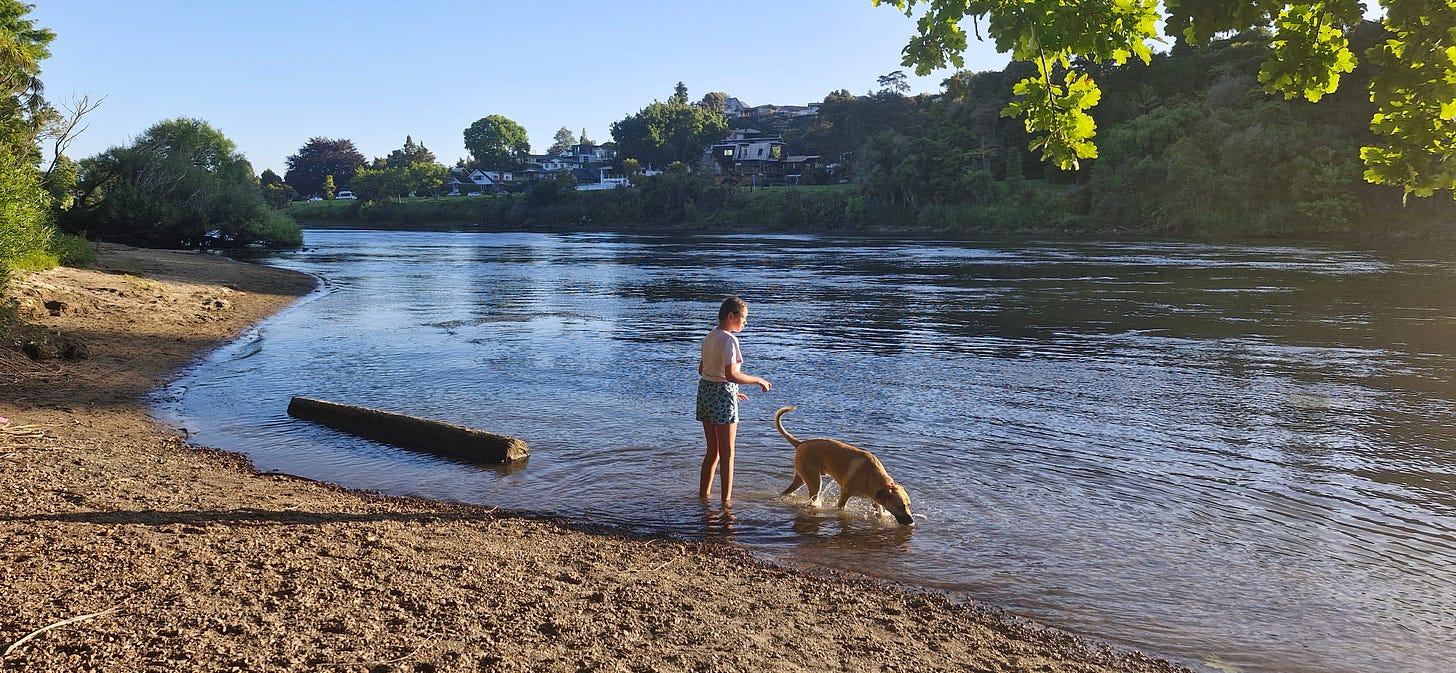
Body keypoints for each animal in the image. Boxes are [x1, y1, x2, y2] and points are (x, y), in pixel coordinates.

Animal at [774, 404, 908, 524]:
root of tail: (800, 443)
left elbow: (879, 510)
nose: (911, 521)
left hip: (802, 479)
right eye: (900, 506)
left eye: (908, 505)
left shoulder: (874, 498)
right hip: (814, 482)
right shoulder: (845, 494)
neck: (872, 476)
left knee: (787, 491)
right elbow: (841, 508)